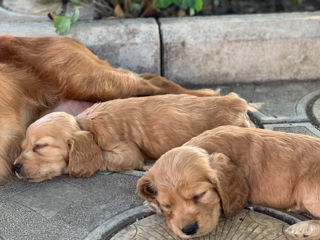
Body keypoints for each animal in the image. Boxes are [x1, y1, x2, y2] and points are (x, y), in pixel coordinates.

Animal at [13, 93, 250, 182]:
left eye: (40, 146)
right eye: (22, 146)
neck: (87, 126)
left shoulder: (126, 151)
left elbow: (103, 158)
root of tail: (233, 100)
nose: (15, 166)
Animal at [138, 125, 320, 240]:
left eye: (200, 195)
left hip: (309, 191)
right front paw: (152, 204)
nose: (189, 230)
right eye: (167, 205)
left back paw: (303, 228)